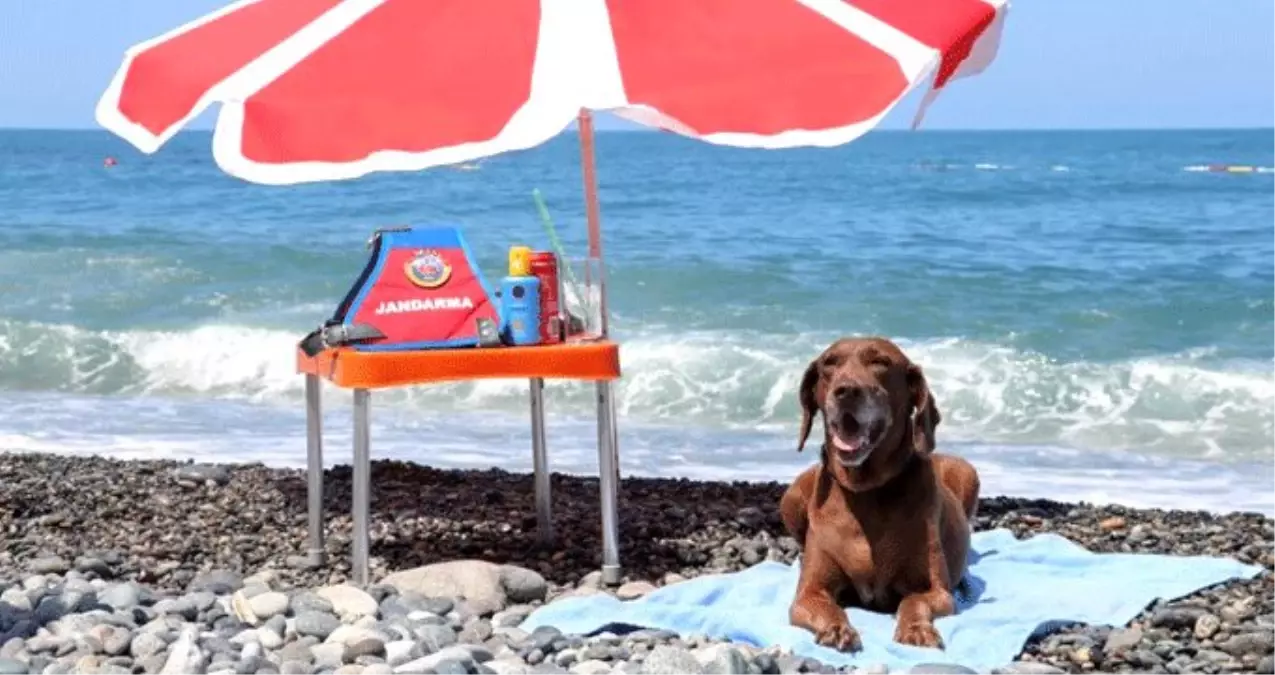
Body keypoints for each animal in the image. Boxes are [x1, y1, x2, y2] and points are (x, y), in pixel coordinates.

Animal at [775, 339, 974, 650]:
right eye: (829, 363)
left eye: (880, 362)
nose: (846, 390)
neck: (865, 491)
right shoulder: (809, 592)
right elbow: (824, 605)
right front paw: (835, 627)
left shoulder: (938, 591)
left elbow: (913, 601)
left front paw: (916, 628)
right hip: (791, 496)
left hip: (968, 471)